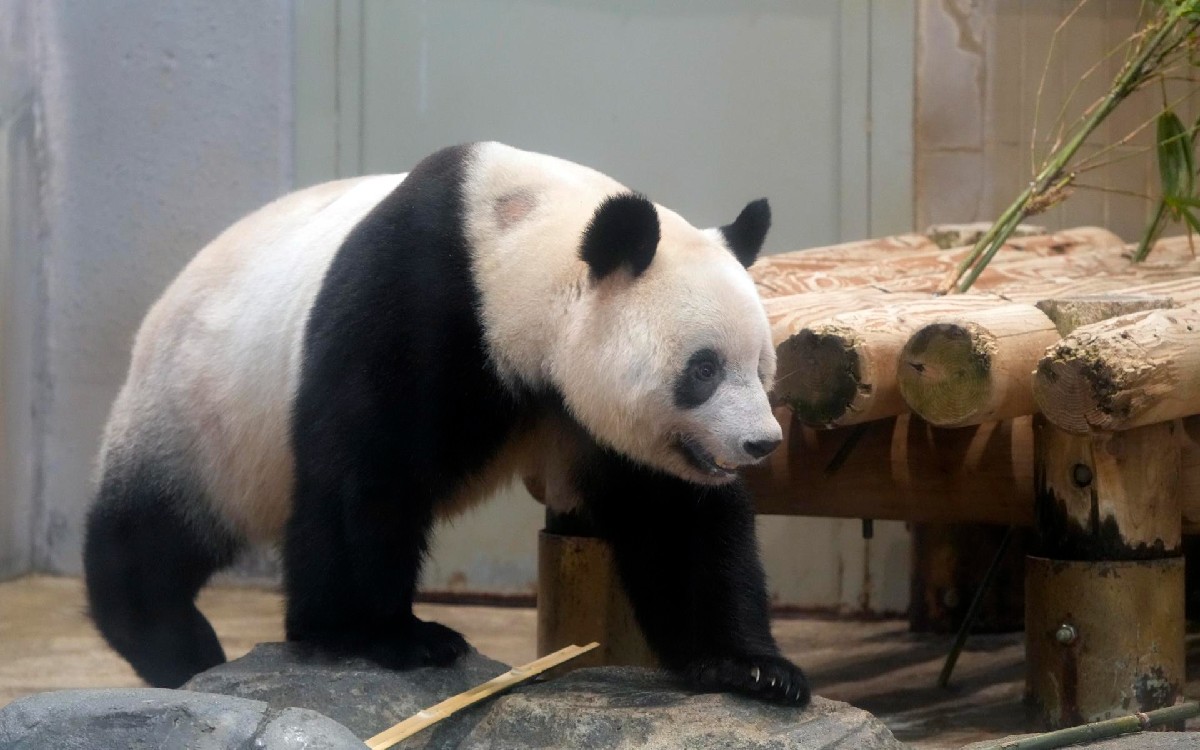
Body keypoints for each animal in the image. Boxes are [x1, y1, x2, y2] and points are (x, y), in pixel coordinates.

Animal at [83, 142, 809, 706]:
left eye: (762, 366)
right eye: (703, 369)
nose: (761, 443)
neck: (512, 248)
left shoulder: (596, 420)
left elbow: (678, 520)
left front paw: (753, 671)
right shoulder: (418, 298)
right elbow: (363, 473)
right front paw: (380, 636)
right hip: (197, 417)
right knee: (149, 537)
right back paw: (174, 642)